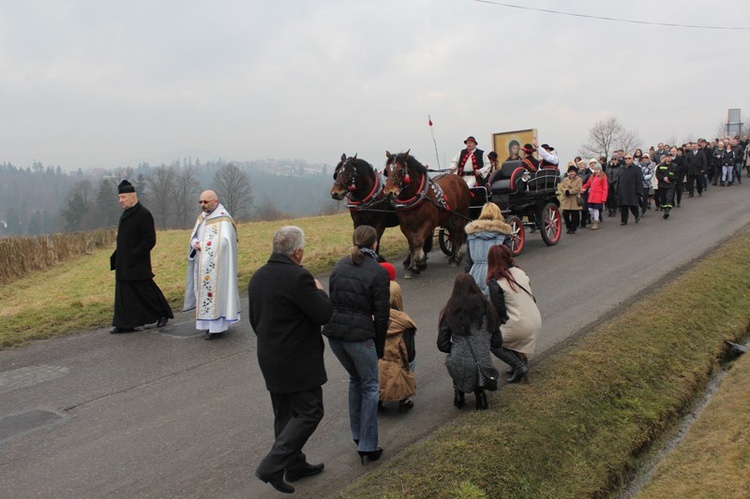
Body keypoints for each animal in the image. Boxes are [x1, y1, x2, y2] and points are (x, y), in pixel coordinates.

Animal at [382, 150, 470, 280]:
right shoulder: (405, 226)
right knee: (452, 232)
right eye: (387, 170)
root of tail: (457, 178)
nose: (389, 192)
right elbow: (412, 244)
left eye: (400, 169)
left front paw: (420, 262)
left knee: (458, 232)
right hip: (447, 216)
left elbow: (418, 241)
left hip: (460, 213)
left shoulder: (429, 223)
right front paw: (413, 267)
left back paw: (456, 258)